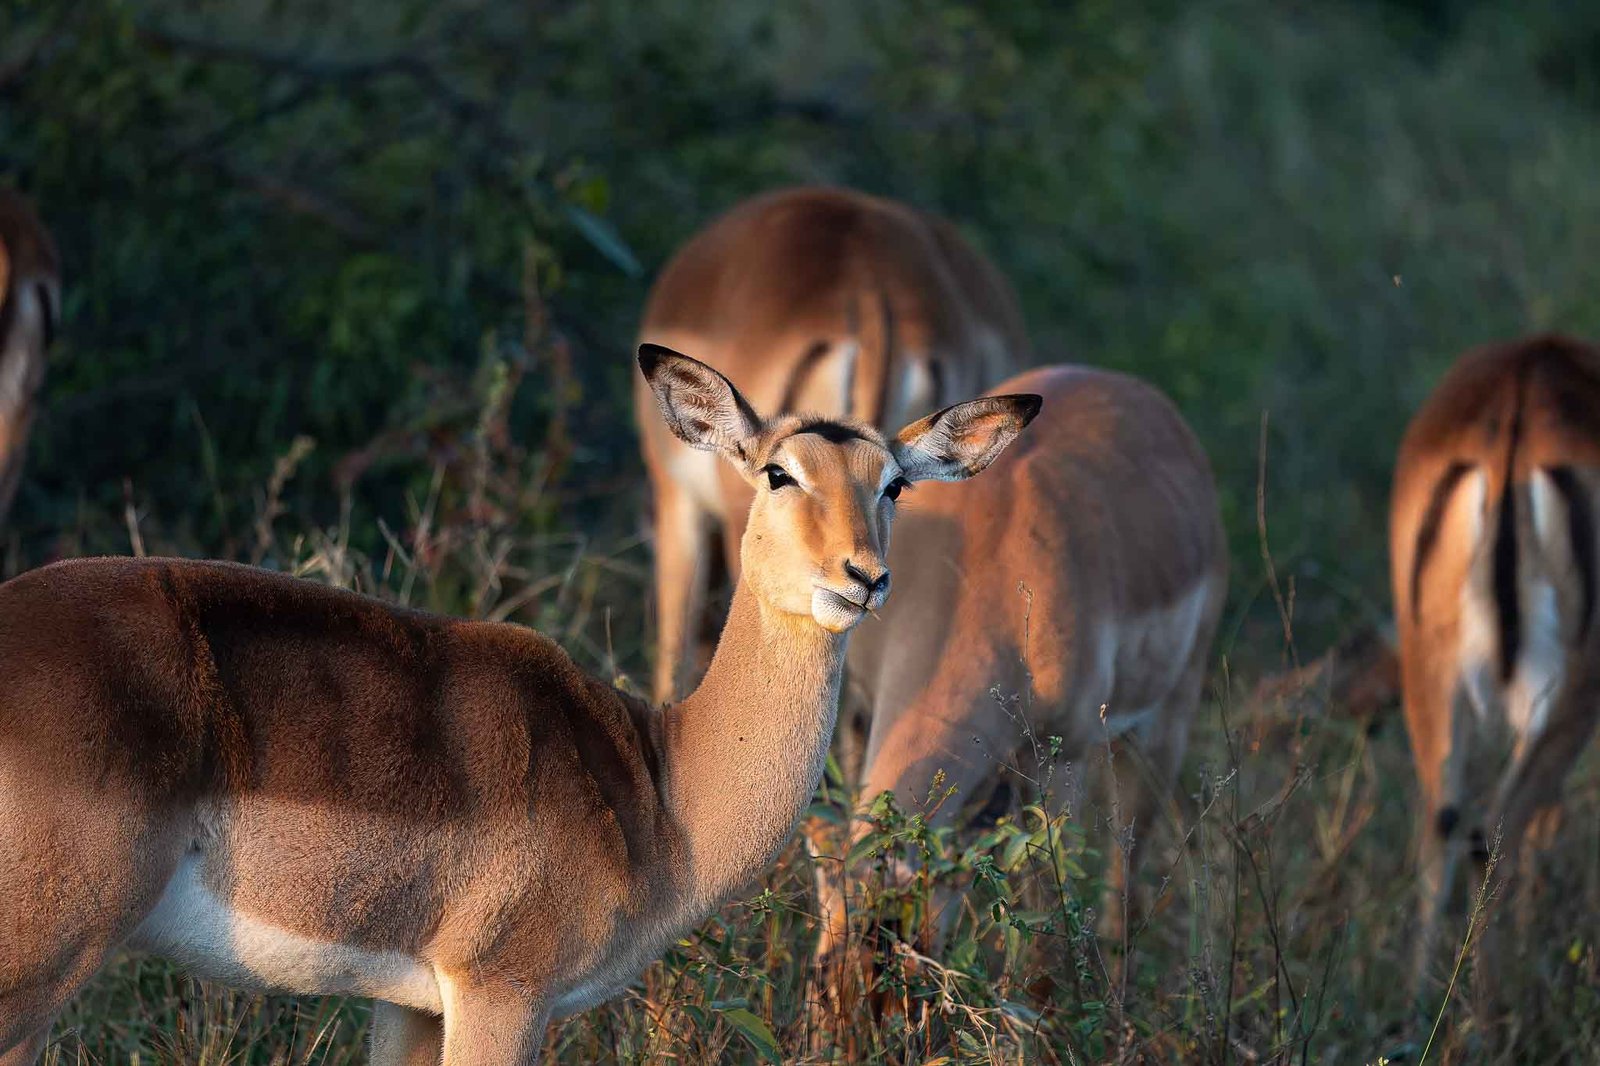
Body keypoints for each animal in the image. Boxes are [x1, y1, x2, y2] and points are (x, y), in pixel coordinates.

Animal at [0, 345, 1039, 1065]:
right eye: (780, 473)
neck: (662, 790)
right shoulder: (503, 992)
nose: (863, 577)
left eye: (894, 483)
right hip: (41, 958)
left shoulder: (409, 1003)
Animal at [810, 365, 1227, 992]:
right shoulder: (860, 710)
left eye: (914, 970)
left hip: (1159, 726)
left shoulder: (1062, 759)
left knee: (1125, 874)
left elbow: (1045, 921)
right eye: (819, 974)